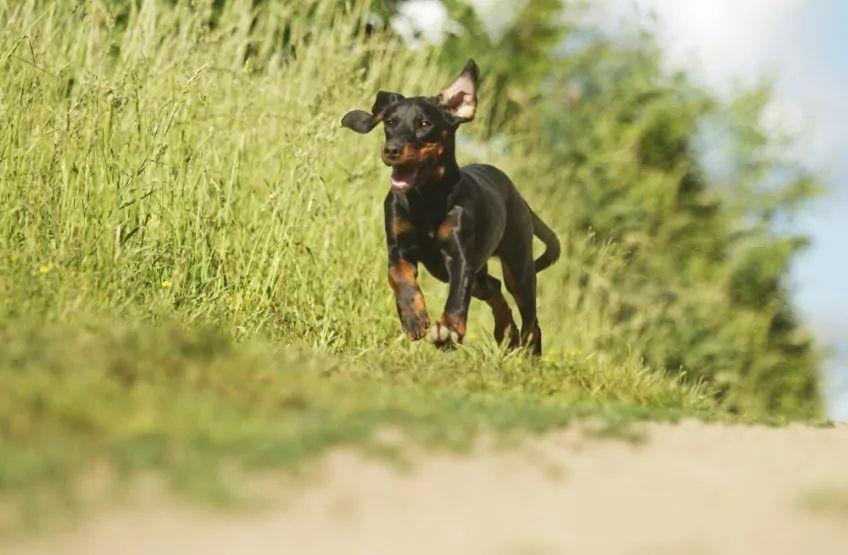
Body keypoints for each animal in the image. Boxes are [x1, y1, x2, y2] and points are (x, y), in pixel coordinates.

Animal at [342, 59, 560, 356]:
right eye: (389, 122)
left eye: (424, 123)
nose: (392, 150)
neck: (425, 200)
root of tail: (520, 198)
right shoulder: (398, 247)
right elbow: (399, 277)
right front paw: (414, 317)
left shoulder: (461, 256)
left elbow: (457, 296)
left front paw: (448, 331)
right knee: (494, 288)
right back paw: (506, 332)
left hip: (518, 266)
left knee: (529, 317)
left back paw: (526, 351)